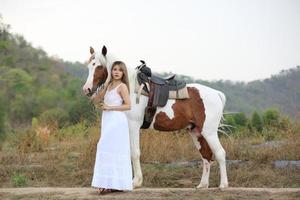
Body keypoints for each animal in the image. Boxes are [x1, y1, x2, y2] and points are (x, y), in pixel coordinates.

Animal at [81, 45, 229, 189]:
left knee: (220, 153)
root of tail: (216, 93)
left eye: (99, 66)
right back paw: (203, 184)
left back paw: (223, 184)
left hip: (209, 132)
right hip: (196, 131)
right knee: (206, 156)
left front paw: (136, 182)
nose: (86, 89)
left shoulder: (133, 126)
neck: (131, 87)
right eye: (89, 66)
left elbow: (135, 153)